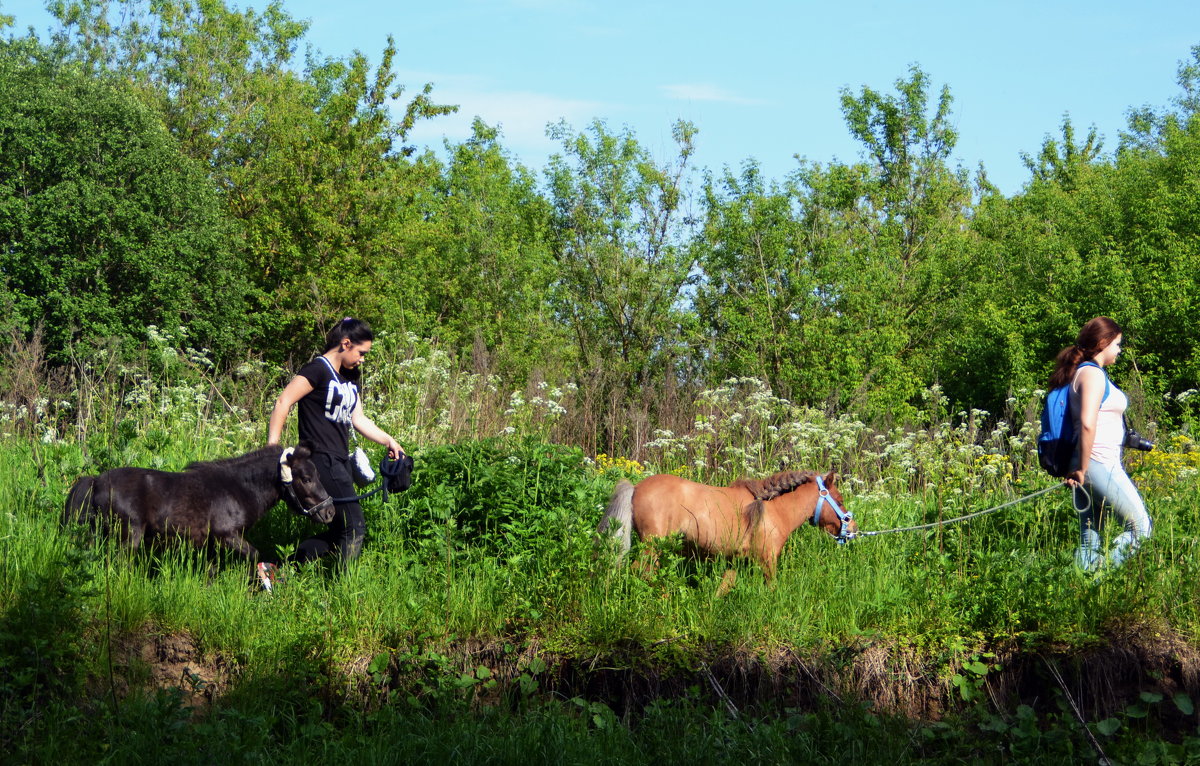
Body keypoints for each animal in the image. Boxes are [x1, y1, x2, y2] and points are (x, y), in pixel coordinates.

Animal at [61, 444, 333, 557]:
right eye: (306, 478)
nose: (329, 511)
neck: (237, 488)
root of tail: (96, 480)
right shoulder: (227, 536)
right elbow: (255, 557)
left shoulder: (211, 543)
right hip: (129, 535)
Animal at [597, 468, 859, 581]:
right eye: (839, 500)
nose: (853, 528)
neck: (773, 509)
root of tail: (636, 488)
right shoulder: (768, 560)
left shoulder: (735, 562)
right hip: (653, 547)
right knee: (641, 571)